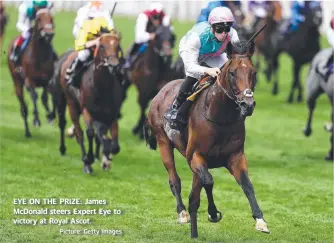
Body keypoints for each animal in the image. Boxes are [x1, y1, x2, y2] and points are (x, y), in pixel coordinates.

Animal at [7, 8, 54, 138]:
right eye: (38, 19)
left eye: (51, 18)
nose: (49, 34)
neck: (40, 55)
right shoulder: (29, 80)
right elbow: (34, 96)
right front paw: (36, 120)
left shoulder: (47, 80)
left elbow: (45, 98)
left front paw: (50, 116)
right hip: (17, 82)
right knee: (23, 108)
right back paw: (27, 132)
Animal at [58, 32, 124, 174]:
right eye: (102, 46)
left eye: (117, 46)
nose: (114, 65)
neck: (102, 88)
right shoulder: (86, 110)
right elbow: (90, 133)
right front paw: (89, 160)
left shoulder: (111, 114)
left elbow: (114, 145)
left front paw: (106, 160)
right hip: (72, 104)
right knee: (80, 133)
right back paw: (86, 162)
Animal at [144, 39, 268, 238]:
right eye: (232, 73)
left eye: (254, 72)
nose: (247, 104)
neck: (220, 117)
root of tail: (161, 91)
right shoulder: (196, 156)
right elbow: (208, 181)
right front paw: (213, 212)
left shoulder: (235, 157)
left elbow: (247, 185)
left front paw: (260, 220)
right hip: (163, 142)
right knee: (174, 180)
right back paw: (182, 213)